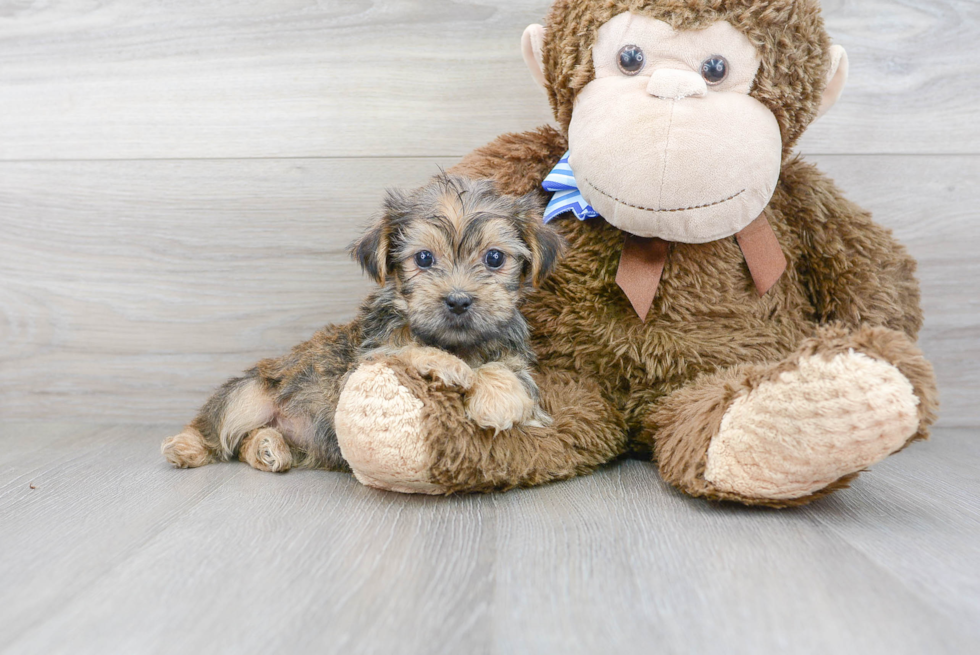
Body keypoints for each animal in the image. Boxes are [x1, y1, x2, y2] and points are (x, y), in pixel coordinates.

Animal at [163, 172, 568, 474]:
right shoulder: (360, 366)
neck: (456, 342)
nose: (457, 300)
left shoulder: (518, 361)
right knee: (217, 428)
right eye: (424, 258)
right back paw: (185, 447)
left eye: (495, 258)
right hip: (249, 393)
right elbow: (404, 350)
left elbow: (513, 375)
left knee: (248, 440)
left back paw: (267, 447)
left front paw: (496, 399)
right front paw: (449, 366)